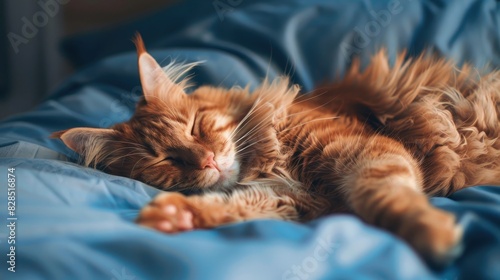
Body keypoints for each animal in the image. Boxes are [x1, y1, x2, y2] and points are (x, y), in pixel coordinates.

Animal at [51, 35, 500, 264]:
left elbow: (386, 194)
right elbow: (233, 207)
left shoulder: (367, 151)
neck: (269, 161)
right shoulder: (294, 201)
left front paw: (432, 232)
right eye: (165, 159)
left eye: (194, 127)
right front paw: (177, 216)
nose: (207, 160)